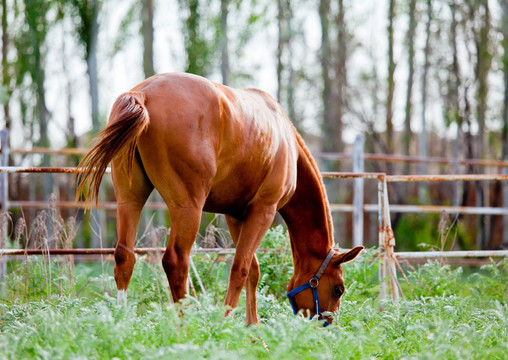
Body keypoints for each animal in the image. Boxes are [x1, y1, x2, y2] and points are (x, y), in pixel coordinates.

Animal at [75, 71, 364, 324]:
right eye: (338, 288)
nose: (325, 325)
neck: (286, 139)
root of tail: (143, 93)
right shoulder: (264, 210)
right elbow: (241, 268)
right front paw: (224, 323)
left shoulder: (236, 215)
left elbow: (253, 270)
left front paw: (253, 329)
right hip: (187, 207)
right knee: (176, 261)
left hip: (130, 199)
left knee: (124, 255)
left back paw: (121, 321)